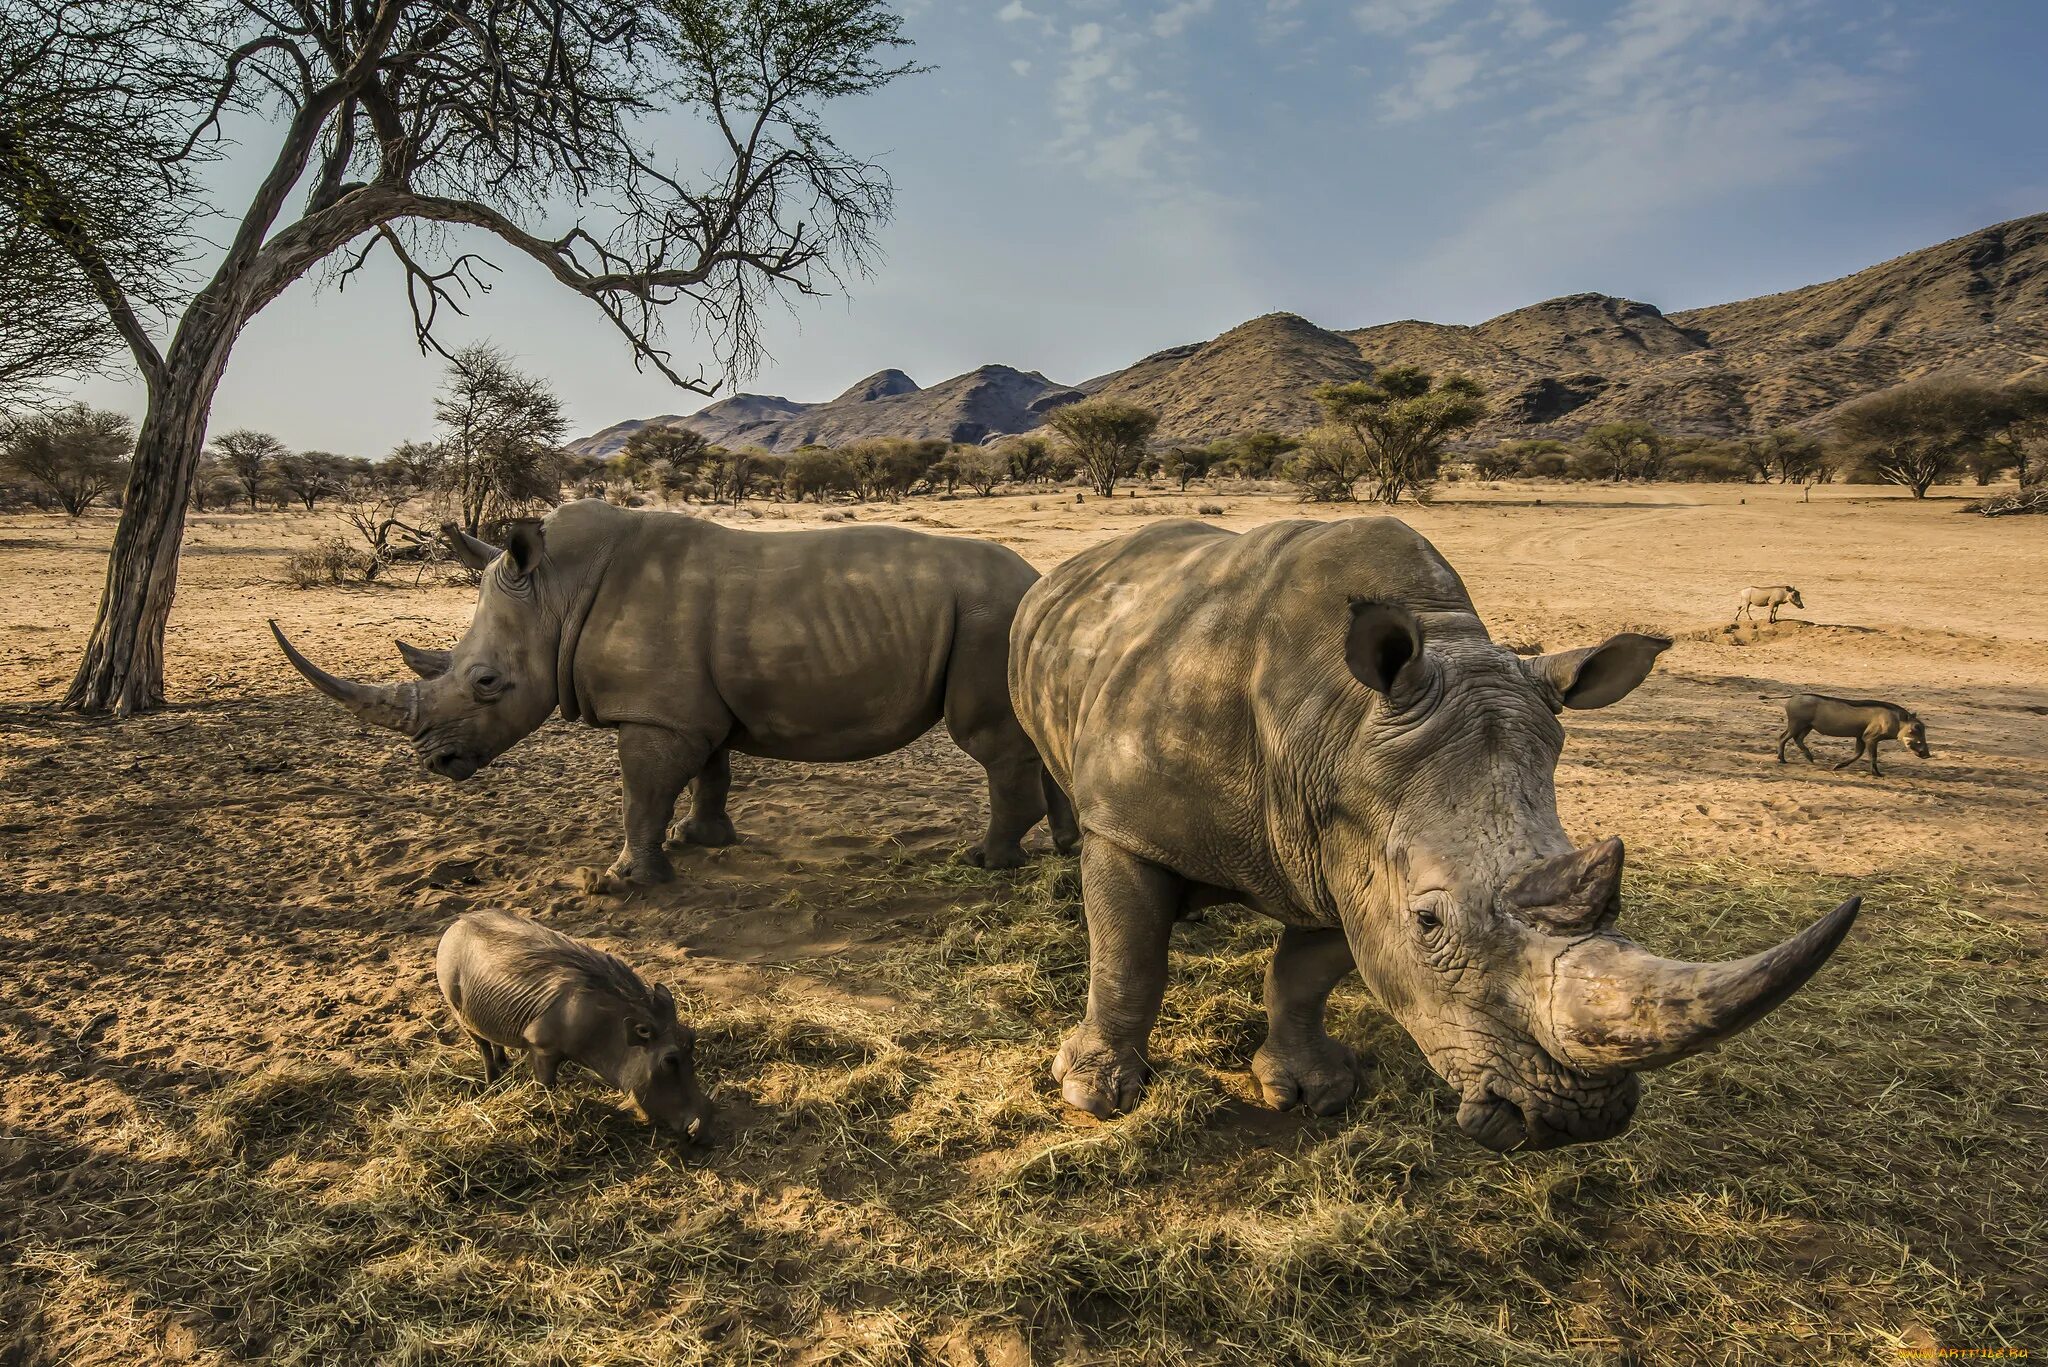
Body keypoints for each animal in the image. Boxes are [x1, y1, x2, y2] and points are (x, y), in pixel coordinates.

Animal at [278, 498, 1081, 881]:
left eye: (487, 684)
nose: (436, 763)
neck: (555, 595)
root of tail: (1039, 581)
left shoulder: (658, 714)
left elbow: (643, 790)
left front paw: (624, 879)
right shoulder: (687, 709)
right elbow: (708, 773)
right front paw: (702, 841)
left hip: (987, 619)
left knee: (992, 744)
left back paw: (985, 863)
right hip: (1010, 619)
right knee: (1035, 733)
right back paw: (1067, 850)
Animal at [1015, 524, 1867, 1155]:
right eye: (1430, 921)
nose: (1574, 1118)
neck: (1334, 722)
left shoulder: (1347, 852)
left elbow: (1306, 972)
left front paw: (1318, 1089)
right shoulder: (1132, 825)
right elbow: (1128, 958)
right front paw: (1095, 1093)